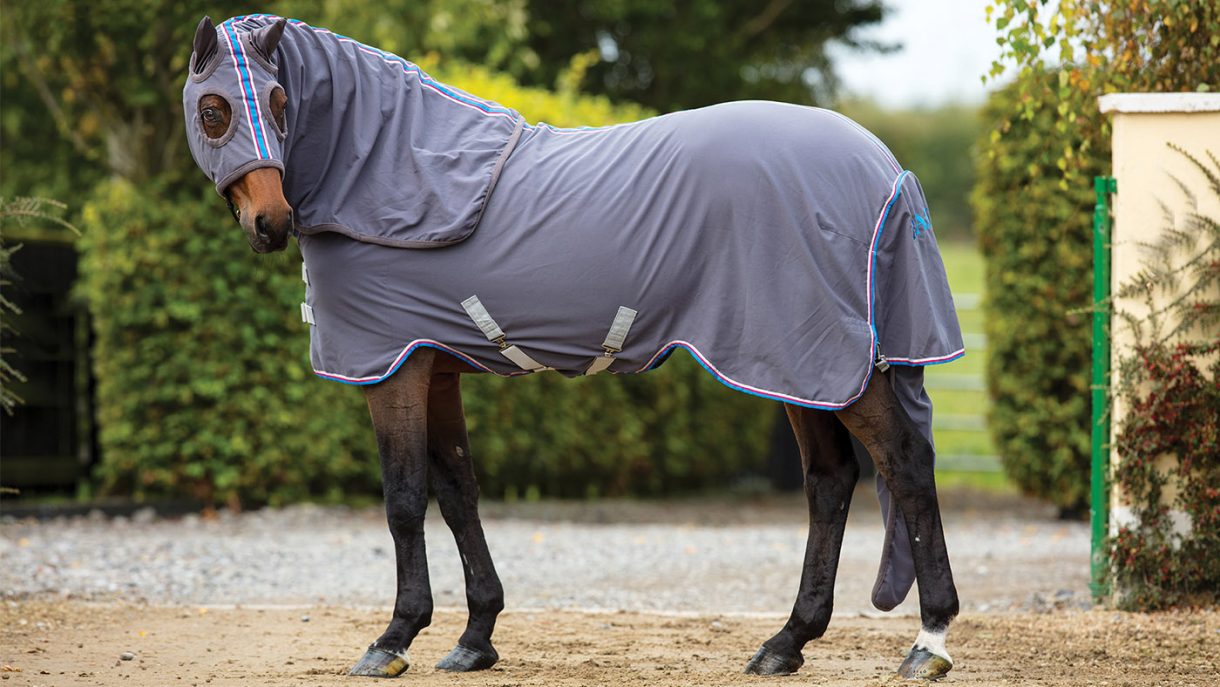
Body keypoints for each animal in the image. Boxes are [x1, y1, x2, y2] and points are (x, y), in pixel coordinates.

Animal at [183, 14, 962, 680]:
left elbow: (403, 499)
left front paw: (393, 638)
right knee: (830, 481)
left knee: (905, 467)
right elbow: (457, 491)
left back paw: (928, 643)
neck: (392, 175)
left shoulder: (393, 371)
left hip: (825, 366)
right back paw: (785, 642)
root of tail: (884, 168)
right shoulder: (436, 368)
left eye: (280, 100)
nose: (271, 222)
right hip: (800, 373)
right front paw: (475, 638)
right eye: (214, 108)